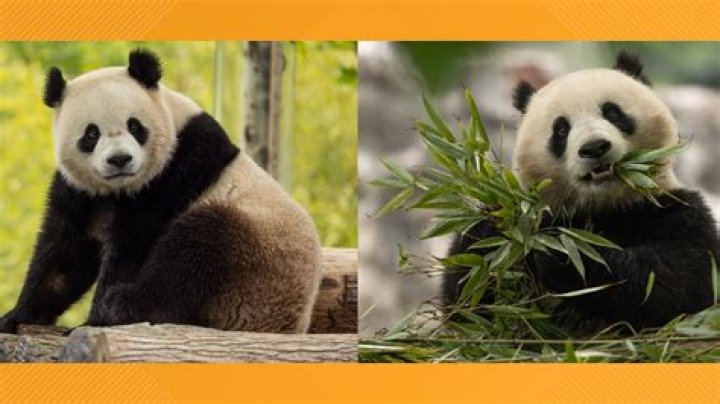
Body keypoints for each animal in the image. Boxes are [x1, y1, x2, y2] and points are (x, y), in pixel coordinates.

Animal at [0, 49, 322, 334]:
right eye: (91, 134)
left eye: (135, 126)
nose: (119, 160)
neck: (119, 190)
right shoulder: (80, 191)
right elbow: (64, 255)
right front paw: (16, 316)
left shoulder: (177, 169)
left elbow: (135, 244)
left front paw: (95, 319)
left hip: (255, 261)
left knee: (197, 249)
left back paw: (125, 306)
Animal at [444, 51, 719, 331]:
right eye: (561, 129)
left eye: (612, 113)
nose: (594, 147)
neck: (604, 207)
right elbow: (468, 301)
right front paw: (496, 226)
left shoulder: (672, 209)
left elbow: (680, 281)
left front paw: (564, 253)